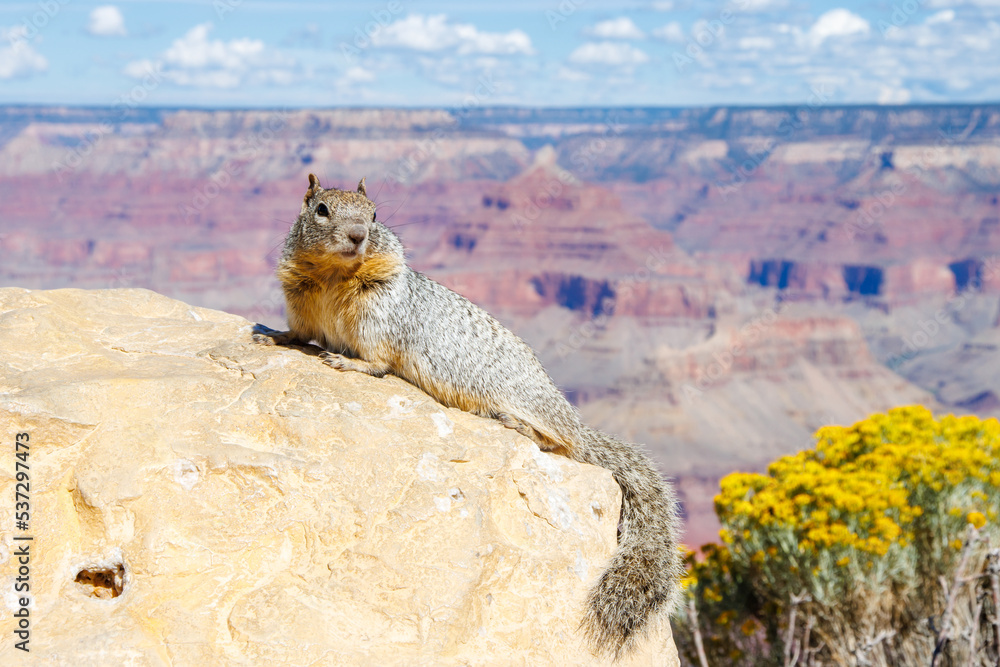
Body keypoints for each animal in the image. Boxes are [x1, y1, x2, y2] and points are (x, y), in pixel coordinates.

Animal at [253, 174, 683, 658]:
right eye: (322, 209)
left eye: (375, 214)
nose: (359, 235)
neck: (333, 274)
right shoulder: (301, 300)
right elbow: (299, 333)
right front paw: (272, 334)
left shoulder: (377, 313)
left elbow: (378, 358)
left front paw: (350, 363)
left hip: (525, 399)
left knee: (563, 443)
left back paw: (521, 425)